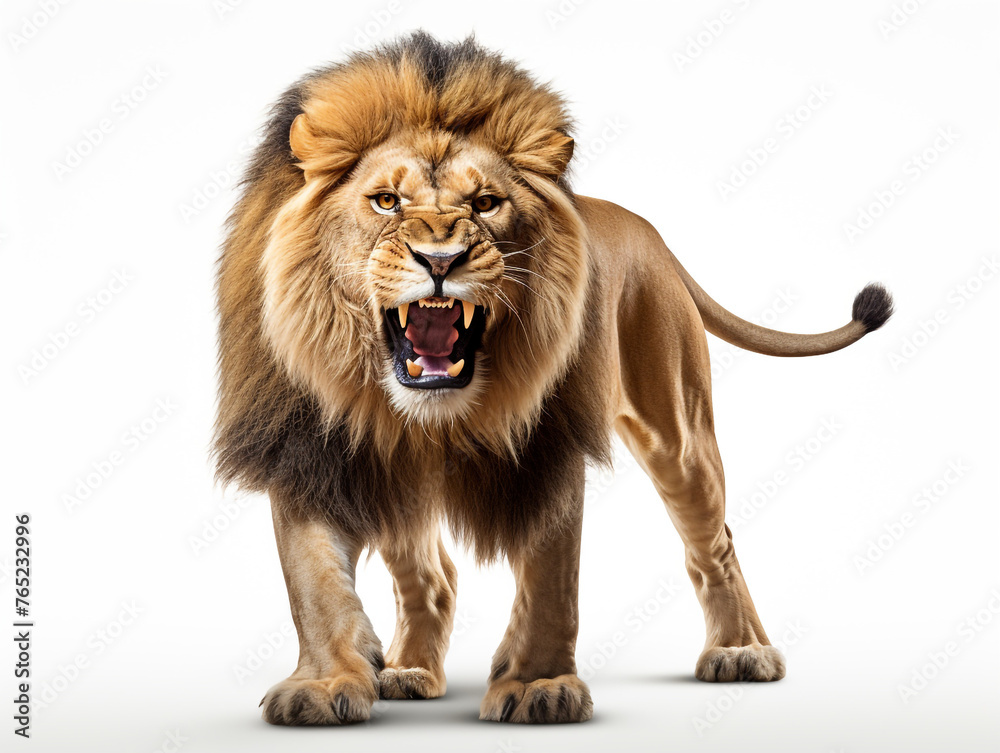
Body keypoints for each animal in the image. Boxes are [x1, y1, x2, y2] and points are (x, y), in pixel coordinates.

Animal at [215, 32, 892, 725]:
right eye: (386, 201)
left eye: (486, 203)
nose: (440, 260)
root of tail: (649, 233)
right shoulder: (305, 450)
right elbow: (315, 584)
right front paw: (326, 685)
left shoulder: (549, 448)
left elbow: (550, 581)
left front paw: (537, 686)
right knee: (433, 576)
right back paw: (407, 670)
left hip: (677, 428)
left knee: (715, 541)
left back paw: (740, 652)